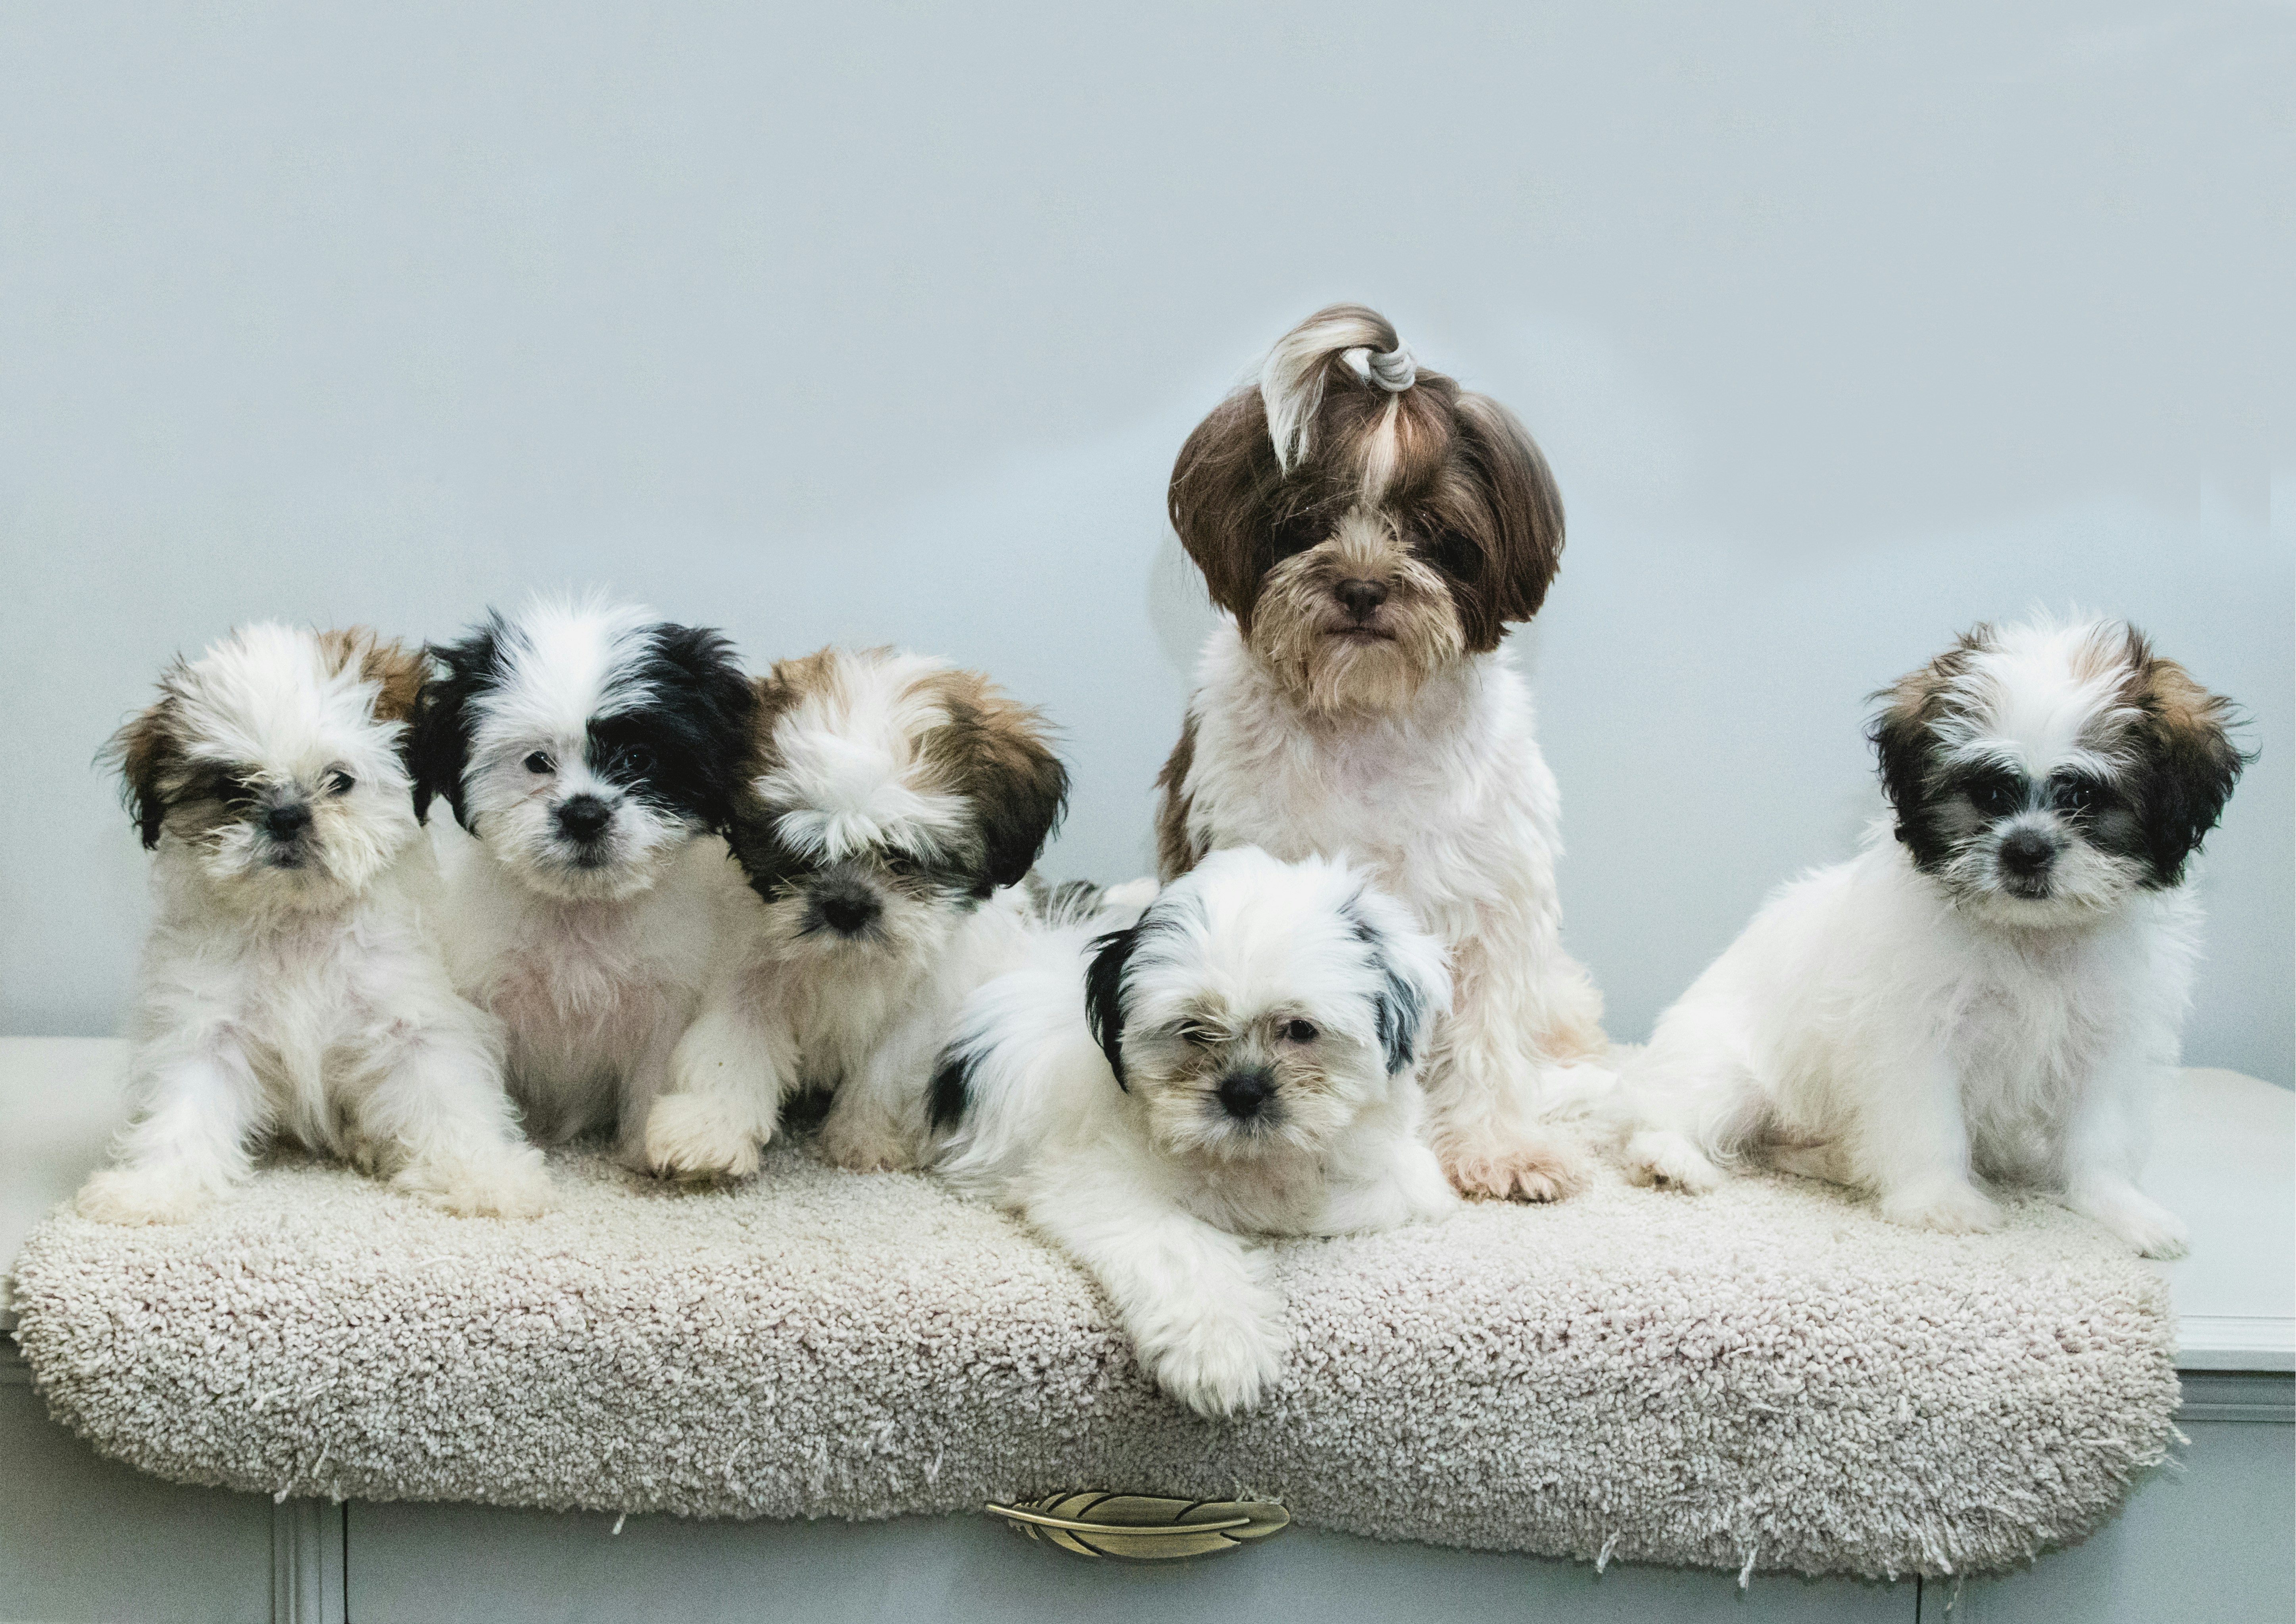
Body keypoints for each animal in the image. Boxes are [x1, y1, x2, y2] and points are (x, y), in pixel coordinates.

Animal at [77, 625, 551, 1222]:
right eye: (232, 789)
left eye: (339, 781)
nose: (285, 817)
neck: (298, 924)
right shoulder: (207, 1025)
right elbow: (185, 1107)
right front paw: (150, 1187)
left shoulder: (412, 1016)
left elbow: (447, 1094)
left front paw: (485, 1176)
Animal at [399, 602, 748, 1162]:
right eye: (537, 761)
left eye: (638, 758)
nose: (584, 815)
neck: (580, 911)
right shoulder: (482, 984)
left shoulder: (668, 996)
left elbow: (655, 1073)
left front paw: (643, 1151)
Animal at [927, 850, 1451, 1424]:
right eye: (1193, 1031)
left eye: (1300, 1029)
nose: (1243, 1091)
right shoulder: (1096, 1183)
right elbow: (1177, 1246)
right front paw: (1220, 1351)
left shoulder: (1399, 1175)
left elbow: (1377, 1194)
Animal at [1148, 305, 1616, 1203]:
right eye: (1302, 522)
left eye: (1434, 533)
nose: (1362, 586)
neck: (1366, 719)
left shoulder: (1492, 909)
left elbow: (1487, 1040)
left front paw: (1501, 1147)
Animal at [1625, 615, 2250, 1268]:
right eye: (1990, 794)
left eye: (2083, 797)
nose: (2026, 850)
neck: (2029, 937)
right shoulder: (1916, 1038)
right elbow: (1929, 1125)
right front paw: (1939, 1202)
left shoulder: (2107, 1042)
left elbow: (2100, 1137)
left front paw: (2121, 1207)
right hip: (1724, 1071)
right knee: (1666, 1112)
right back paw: (1670, 1159)